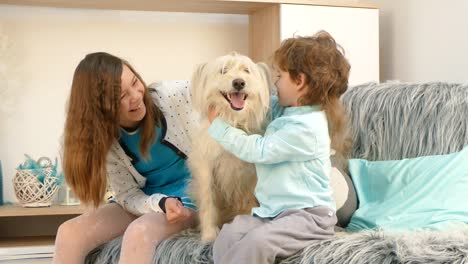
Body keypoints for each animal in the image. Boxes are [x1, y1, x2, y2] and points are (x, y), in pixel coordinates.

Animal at [189, 51, 272, 241]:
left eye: (246, 70)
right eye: (223, 70)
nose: (239, 83)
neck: (232, 122)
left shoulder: (251, 173)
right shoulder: (206, 166)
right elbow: (208, 199)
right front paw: (209, 233)